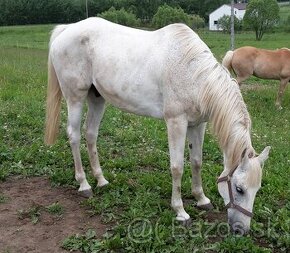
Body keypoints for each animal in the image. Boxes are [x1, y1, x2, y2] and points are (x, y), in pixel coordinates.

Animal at [44, 17, 270, 234]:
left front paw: (201, 199)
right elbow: (177, 167)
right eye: (239, 189)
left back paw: (101, 180)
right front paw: (180, 211)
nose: (241, 230)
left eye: (257, 189)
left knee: (90, 134)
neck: (193, 73)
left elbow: (196, 162)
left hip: (97, 98)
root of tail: (66, 29)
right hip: (75, 98)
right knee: (74, 136)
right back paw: (84, 185)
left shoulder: (197, 125)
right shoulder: (176, 122)